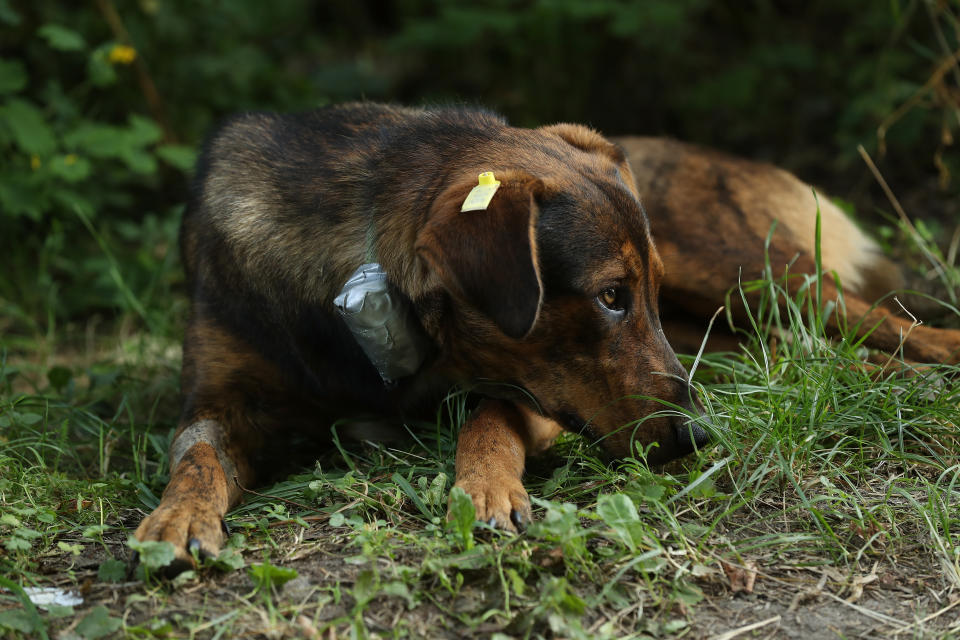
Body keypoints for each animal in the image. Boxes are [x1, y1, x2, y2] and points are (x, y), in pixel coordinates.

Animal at [135, 101, 960, 568]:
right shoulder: (219, 397)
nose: (699, 436)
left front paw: (485, 488)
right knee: (797, 350)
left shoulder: (542, 393)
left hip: (741, 273)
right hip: (725, 322)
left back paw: (934, 365)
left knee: (863, 319)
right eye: (611, 298)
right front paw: (176, 517)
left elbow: (489, 417)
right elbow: (197, 457)